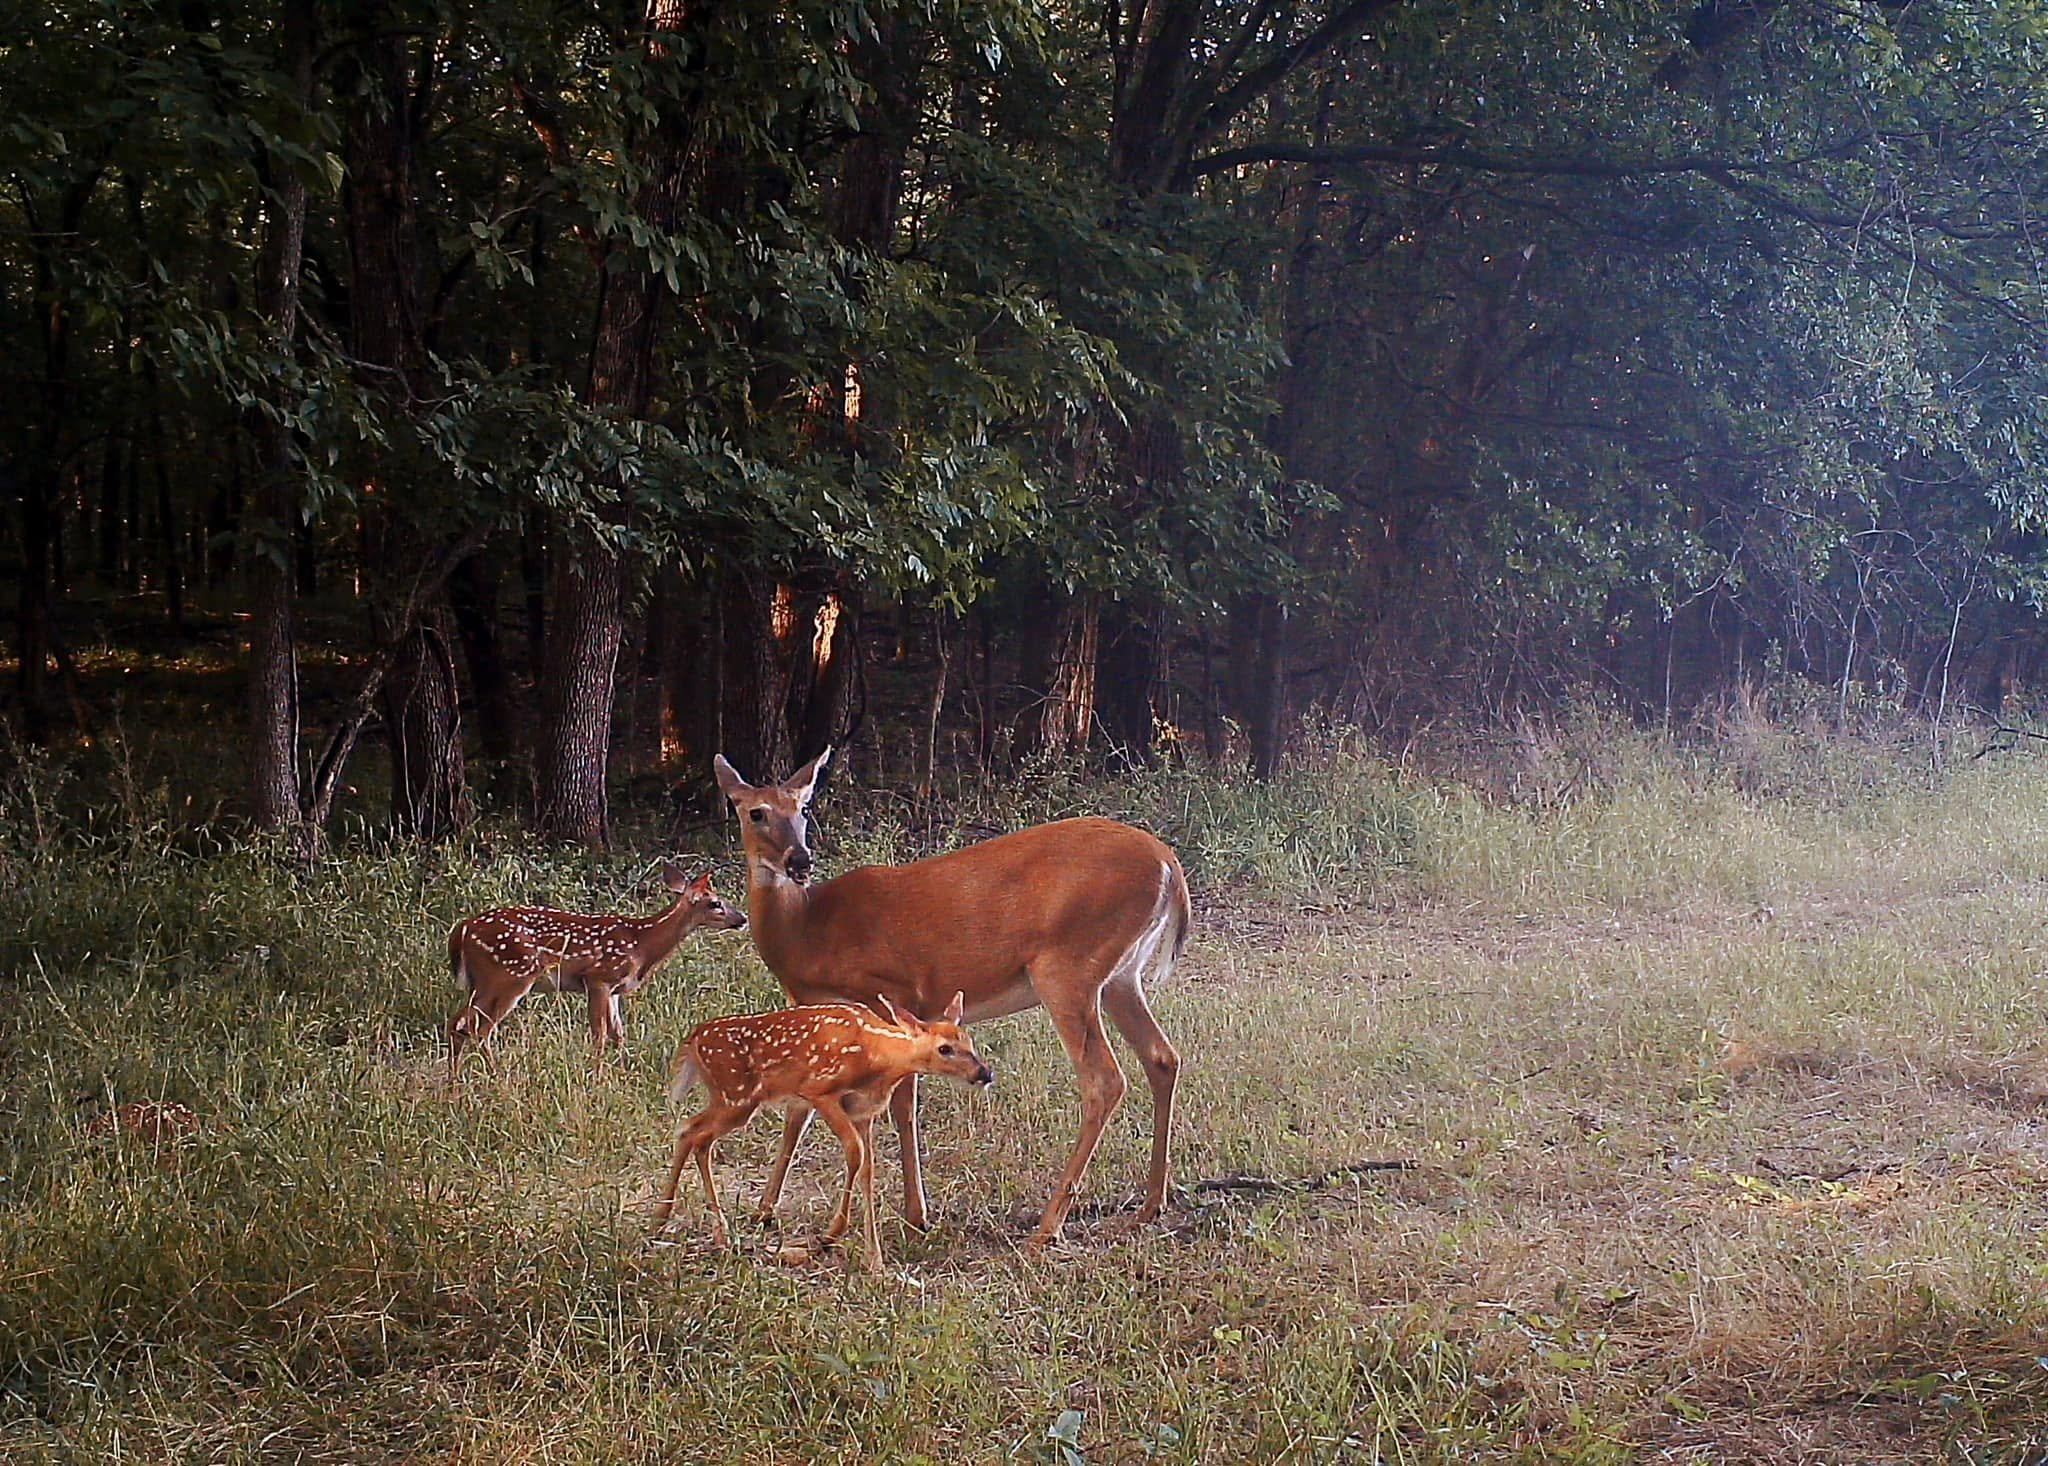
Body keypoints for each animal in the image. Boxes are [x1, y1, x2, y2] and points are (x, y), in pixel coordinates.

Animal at [446, 863, 746, 1079]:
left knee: (458, 1023)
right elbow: (599, 1035)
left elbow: (619, 1034)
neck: (642, 944)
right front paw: (598, 1078)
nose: (742, 919)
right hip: (511, 975)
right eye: (715, 903)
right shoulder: (598, 978)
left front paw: (624, 1075)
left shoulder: (615, 990)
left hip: (483, 982)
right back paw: (496, 1076)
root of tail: (463, 929)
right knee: (480, 1029)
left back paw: (455, 1081)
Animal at [654, 992, 995, 1270]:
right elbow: (855, 1152)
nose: (985, 1073)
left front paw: (875, 1262)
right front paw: (829, 1236)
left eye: (969, 1041)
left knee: (689, 1130)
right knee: (697, 1136)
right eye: (945, 1048)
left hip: (727, 1098)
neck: (879, 1059)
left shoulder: (863, 1112)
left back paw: (668, 1219)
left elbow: (868, 1173)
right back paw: (711, 1230)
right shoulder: (819, 1090)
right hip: (736, 1096)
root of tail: (693, 1039)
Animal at [711, 746, 1190, 1248]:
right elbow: (800, 1107)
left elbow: (901, 1105)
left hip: (1066, 967)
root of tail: (1168, 864)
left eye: (803, 809)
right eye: (756, 812)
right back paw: (1150, 1205)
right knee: (1162, 1057)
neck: (805, 933)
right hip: (1121, 976)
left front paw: (915, 1214)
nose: (799, 861)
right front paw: (764, 1211)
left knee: (1105, 1078)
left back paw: (1049, 1224)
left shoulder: (891, 992)